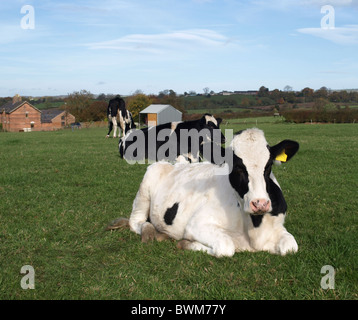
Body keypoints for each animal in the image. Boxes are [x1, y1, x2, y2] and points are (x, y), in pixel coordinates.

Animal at [109, 129, 300, 256]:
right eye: (237, 167)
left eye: (268, 166)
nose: (260, 203)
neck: (254, 227)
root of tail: (174, 162)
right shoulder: (197, 225)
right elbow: (225, 247)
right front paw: (185, 243)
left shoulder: (278, 226)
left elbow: (291, 247)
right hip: (144, 191)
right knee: (137, 222)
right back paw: (151, 232)